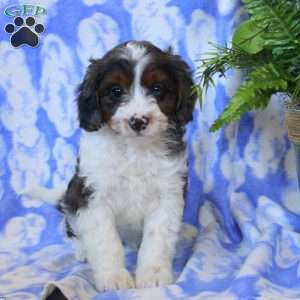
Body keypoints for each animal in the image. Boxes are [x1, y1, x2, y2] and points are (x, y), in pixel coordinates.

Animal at [30, 41, 196, 292]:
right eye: (115, 91)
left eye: (157, 88)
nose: (138, 121)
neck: (134, 149)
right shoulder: (93, 196)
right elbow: (105, 241)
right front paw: (113, 277)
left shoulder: (167, 195)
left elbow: (157, 239)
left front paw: (153, 276)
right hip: (72, 196)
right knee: (72, 228)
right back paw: (81, 250)